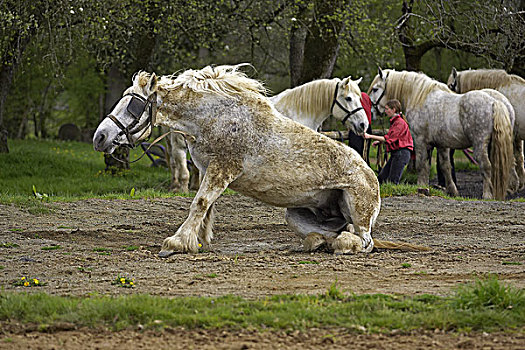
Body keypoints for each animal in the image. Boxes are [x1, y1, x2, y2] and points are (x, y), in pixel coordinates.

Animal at [93, 65, 430, 258]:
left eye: (133, 105)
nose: (100, 137)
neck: (214, 118)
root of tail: (370, 175)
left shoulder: (222, 170)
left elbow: (199, 204)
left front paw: (176, 243)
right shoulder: (208, 171)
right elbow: (206, 207)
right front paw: (197, 241)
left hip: (358, 214)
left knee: (362, 241)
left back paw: (339, 244)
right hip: (294, 215)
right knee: (335, 235)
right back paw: (317, 242)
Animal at [368, 68, 512, 200]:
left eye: (375, 89)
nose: (372, 112)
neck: (420, 98)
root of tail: (494, 102)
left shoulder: (421, 141)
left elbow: (422, 165)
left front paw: (421, 187)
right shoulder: (441, 144)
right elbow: (445, 167)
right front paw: (452, 191)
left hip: (480, 144)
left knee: (486, 166)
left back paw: (487, 195)